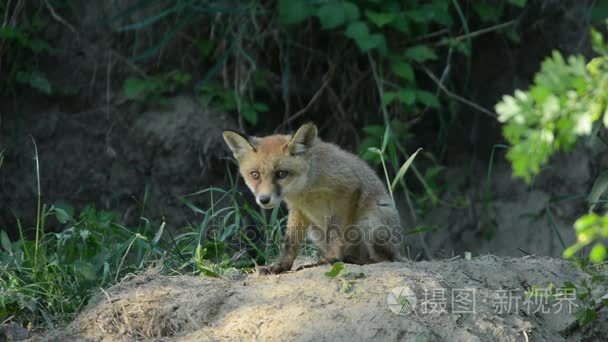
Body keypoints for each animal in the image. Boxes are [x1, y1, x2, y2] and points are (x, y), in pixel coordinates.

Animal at [222, 121, 404, 274]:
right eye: (255, 175)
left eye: (281, 174)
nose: (264, 200)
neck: (305, 189)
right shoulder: (297, 209)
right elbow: (290, 243)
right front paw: (280, 265)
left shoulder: (348, 190)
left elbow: (335, 233)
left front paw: (330, 259)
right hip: (315, 231)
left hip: (370, 225)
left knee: (382, 260)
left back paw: (355, 260)